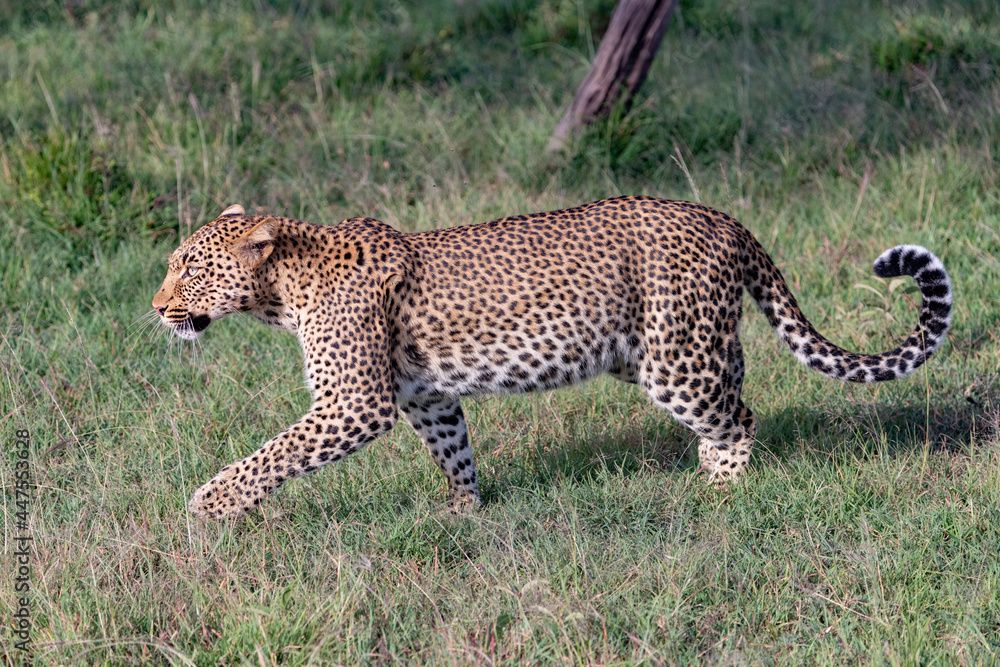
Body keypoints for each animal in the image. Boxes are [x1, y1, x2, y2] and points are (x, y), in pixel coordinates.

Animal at [151, 197, 953, 519]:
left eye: (187, 268)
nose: (157, 307)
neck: (279, 291)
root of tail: (721, 216)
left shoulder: (355, 403)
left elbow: (274, 453)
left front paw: (209, 505)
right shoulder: (424, 394)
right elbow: (453, 448)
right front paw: (463, 512)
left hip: (675, 358)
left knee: (740, 414)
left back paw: (719, 491)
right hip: (659, 349)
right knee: (735, 395)